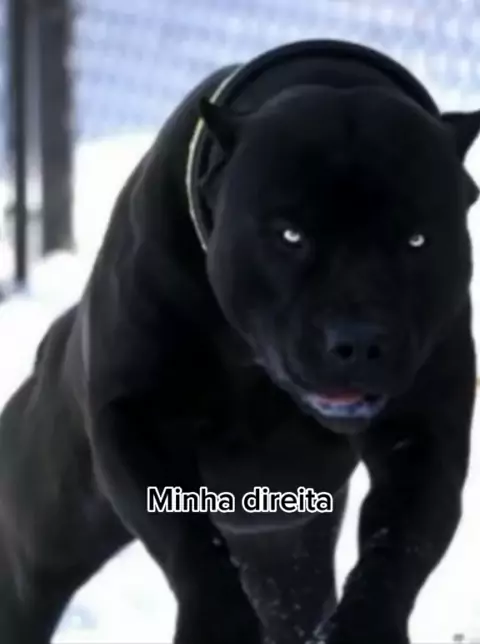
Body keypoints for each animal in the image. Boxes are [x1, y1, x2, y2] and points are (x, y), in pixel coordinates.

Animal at [0, 39, 479, 644]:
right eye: (290, 235)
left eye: (417, 240)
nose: (358, 340)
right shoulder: (136, 418)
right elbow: (187, 536)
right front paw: (219, 623)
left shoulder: (424, 437)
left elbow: (398, 545)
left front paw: (364, 626)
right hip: (45, 535)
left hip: (285, 553)